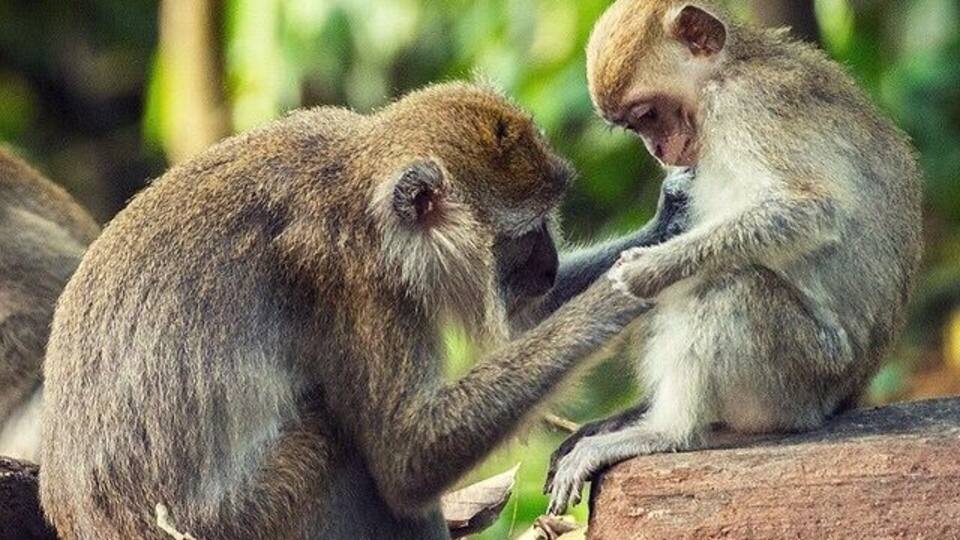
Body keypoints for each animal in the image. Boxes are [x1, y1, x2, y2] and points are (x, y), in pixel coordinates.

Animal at [39, 82, 694, 540]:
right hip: (244, 523)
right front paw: (619, 294)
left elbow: (527, 320)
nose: (550, 265)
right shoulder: (351, 275)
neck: (358, 185)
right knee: (341, 443)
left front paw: (671, 228)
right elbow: (408, 456)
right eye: (527, 232)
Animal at [546, 0, 923, 514]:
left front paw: (648, 270)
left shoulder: (746, 106)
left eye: (648, 114)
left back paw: (669, 433)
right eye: (635, 125)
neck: (727, 71)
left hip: (802, 378)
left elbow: (810, 210)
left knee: (730, 285)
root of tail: (846, 394)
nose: (658, 150)